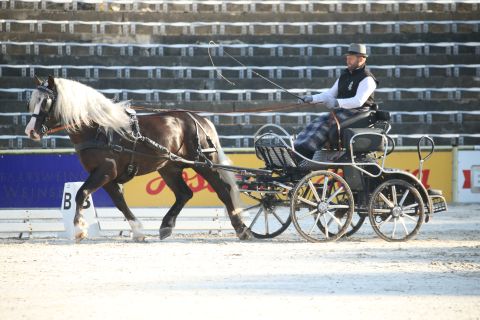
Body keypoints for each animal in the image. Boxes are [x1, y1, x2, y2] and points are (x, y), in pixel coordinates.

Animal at [24, 75, 253, 240]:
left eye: (45, 103)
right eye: (31, 103)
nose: (30, 131)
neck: (98, 129)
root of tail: (200, 119)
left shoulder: (105, 171)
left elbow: (81, 193)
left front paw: (79, 229)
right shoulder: (106, 175)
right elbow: (118, 201)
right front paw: (138, 231)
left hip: (203, 164)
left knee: (223, 190)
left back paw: (241, 228)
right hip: (169, 167)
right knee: (184, 194)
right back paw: (166, 226)